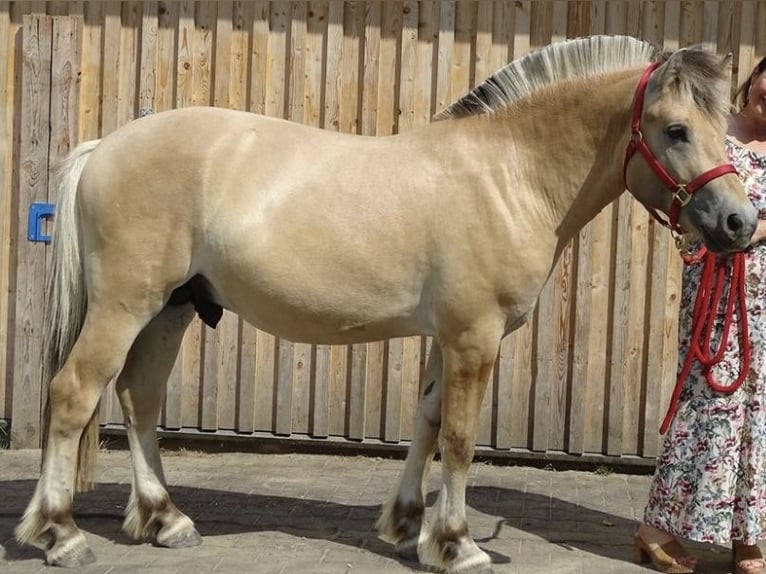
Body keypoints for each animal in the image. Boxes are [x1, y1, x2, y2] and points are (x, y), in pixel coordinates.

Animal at [15, 33, 760, 572]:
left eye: (721, 127)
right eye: (675, 130)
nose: (739, 223)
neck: (506, 174)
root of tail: (105, 146)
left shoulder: (447, 337)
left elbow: (427, 422)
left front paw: (407, 527)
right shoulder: (474, 336)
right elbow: (458, 438)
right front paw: (458, 544)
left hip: (170, 309)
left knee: (139, 399)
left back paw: (166, 519)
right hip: (125, 305)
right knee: (75, 393)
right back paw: (60, 534)